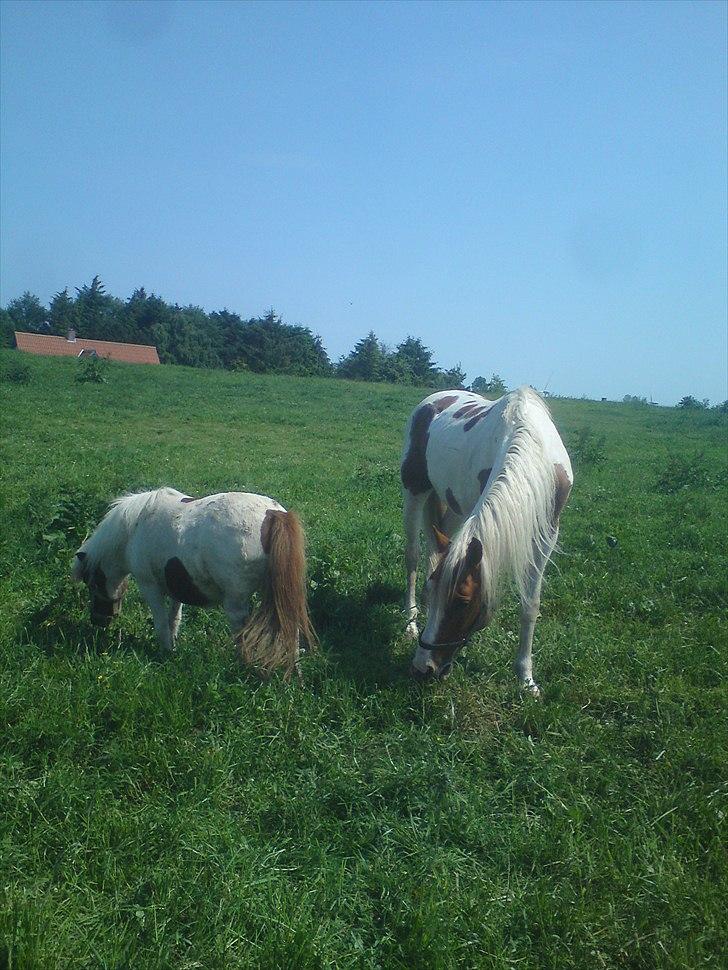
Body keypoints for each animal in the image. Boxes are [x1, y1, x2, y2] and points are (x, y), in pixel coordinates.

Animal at [70, 488, 316, 676]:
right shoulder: (176, 585)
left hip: (236, 601)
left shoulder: (150, 586)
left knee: (242, 632)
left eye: (92, 584)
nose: (98, 621)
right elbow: (174, 618)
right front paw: (173, 646)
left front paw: (165, 652)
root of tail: (272, 514)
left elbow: (161, 623)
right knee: (291, 630)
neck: (134, 529)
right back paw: (296, 674)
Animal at [400, 382, 572, 692]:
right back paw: (410, 622)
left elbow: (530, 605)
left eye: (462, 601)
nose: (422, 668)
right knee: (413, 556)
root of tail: (431, 400)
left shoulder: (547, 533)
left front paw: (526, 678)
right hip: (415, 490)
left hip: (453, 507)